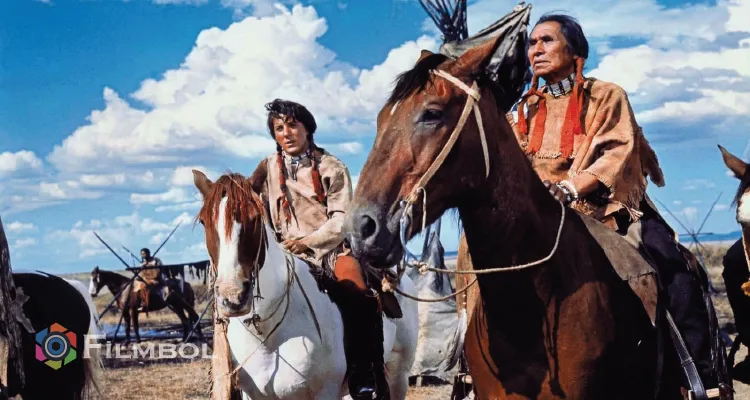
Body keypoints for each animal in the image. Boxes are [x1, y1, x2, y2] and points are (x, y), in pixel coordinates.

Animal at [192, 170, 419, 399]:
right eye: (203, 221)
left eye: (255, 218)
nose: (233, 297)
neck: (266, 334)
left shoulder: (325, 392)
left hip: (398, 374)